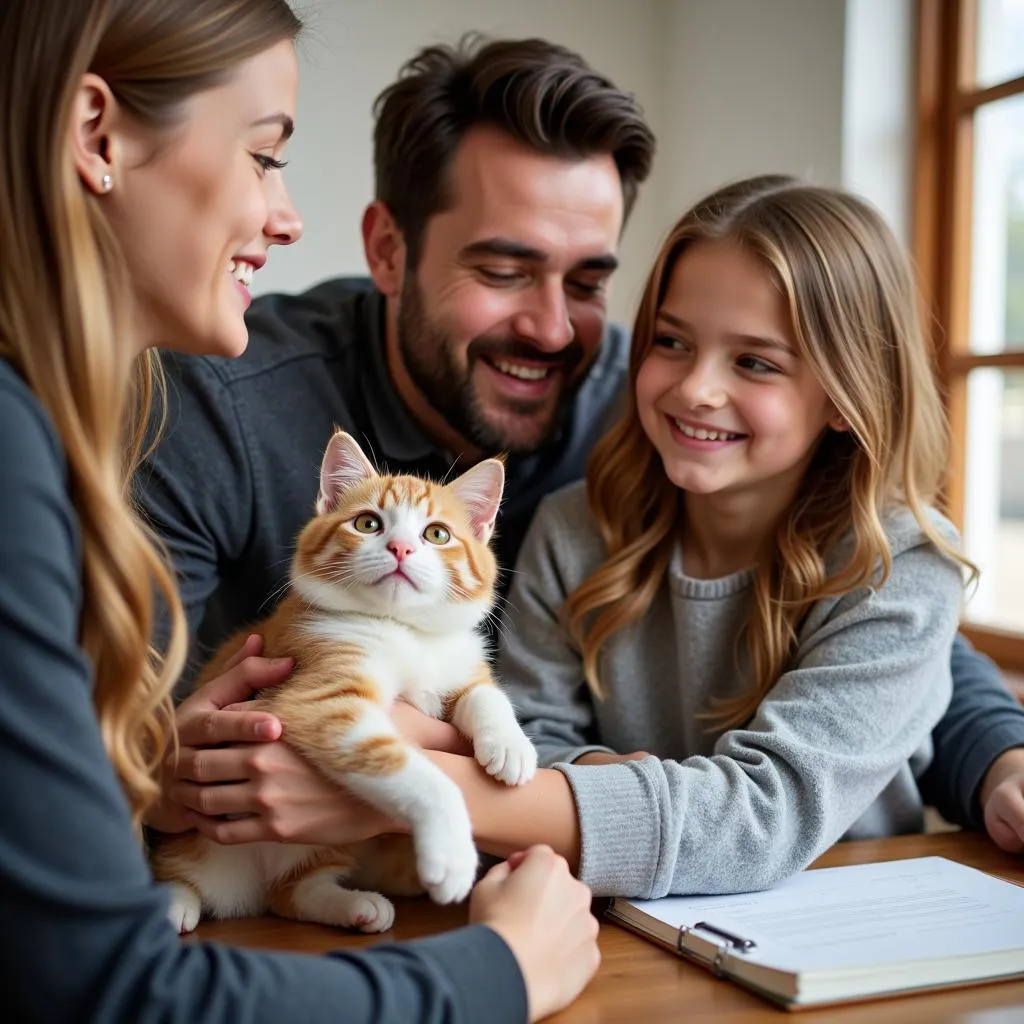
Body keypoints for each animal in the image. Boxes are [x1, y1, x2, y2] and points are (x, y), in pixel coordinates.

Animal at [153, 432, 536, 937]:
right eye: (367, 523)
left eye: (437, 534)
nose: (400, 548)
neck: (405, 630)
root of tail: (248, 892)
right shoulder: (317, 693)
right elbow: (408, 765)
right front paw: (452, 853)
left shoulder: (457, 664)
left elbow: (484, 694)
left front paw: (511, 746)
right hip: (188, 841)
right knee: (178, 871)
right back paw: (173, 902)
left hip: (325, 849)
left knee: (291, 893)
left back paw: (353, 905)